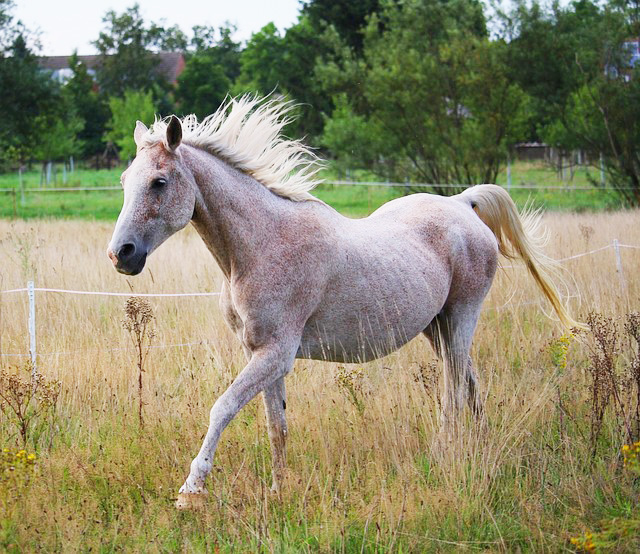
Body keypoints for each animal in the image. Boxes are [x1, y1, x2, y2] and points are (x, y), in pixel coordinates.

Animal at [107, 96, 576, 508]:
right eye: (124, 182)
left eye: (159, 182)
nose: (121, 254)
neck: (260, 245)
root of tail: (463, 203)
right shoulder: (261, 354)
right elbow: (276, 425)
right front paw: (278, 492)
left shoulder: (276, 354)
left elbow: (222, 409)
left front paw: (191, 491)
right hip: (437, 327)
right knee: (470, 384)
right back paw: (480, 447)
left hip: (462, 317)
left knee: (454, 391)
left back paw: (444, 454)